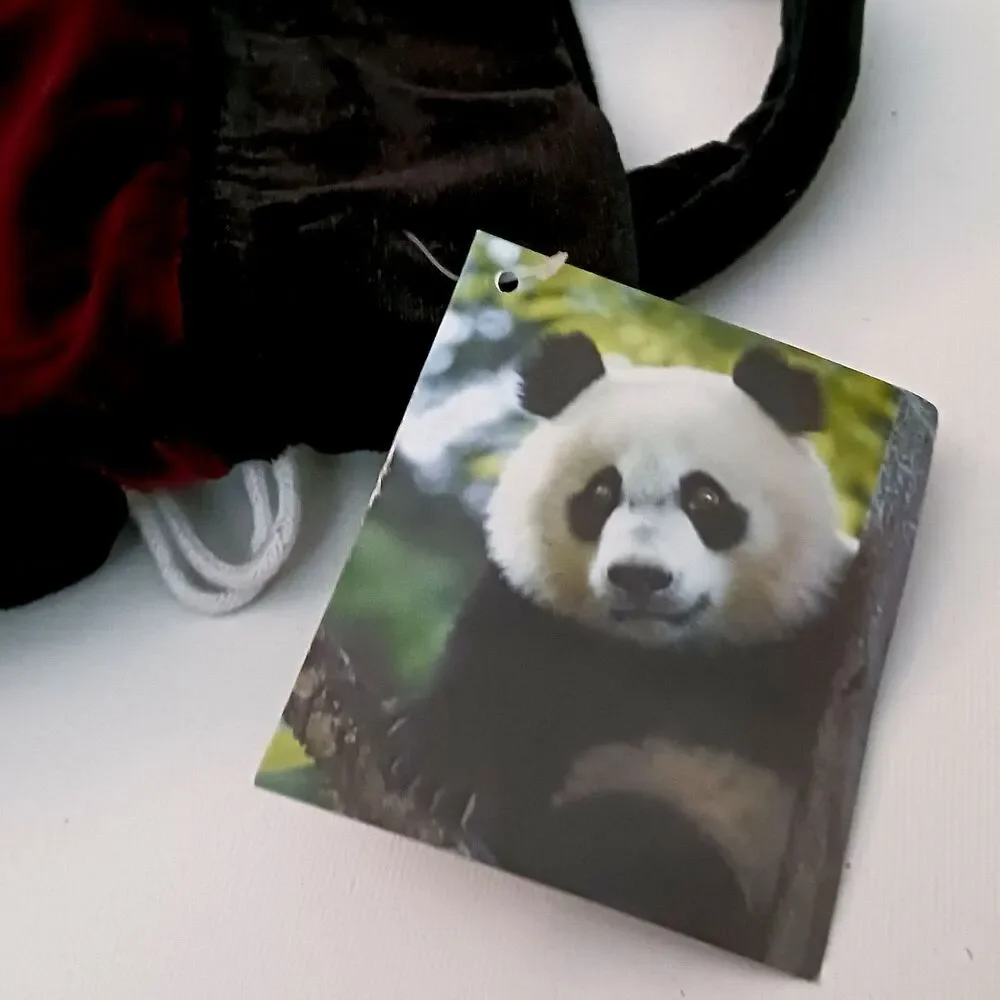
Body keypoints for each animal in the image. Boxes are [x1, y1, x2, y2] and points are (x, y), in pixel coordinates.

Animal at [386, 331, 858, 956]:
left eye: (705, 499)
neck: (661, 658)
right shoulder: (534, 615)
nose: (640, 576)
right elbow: (488, 672)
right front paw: (438, 765)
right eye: (601, 492)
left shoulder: (814, 619)